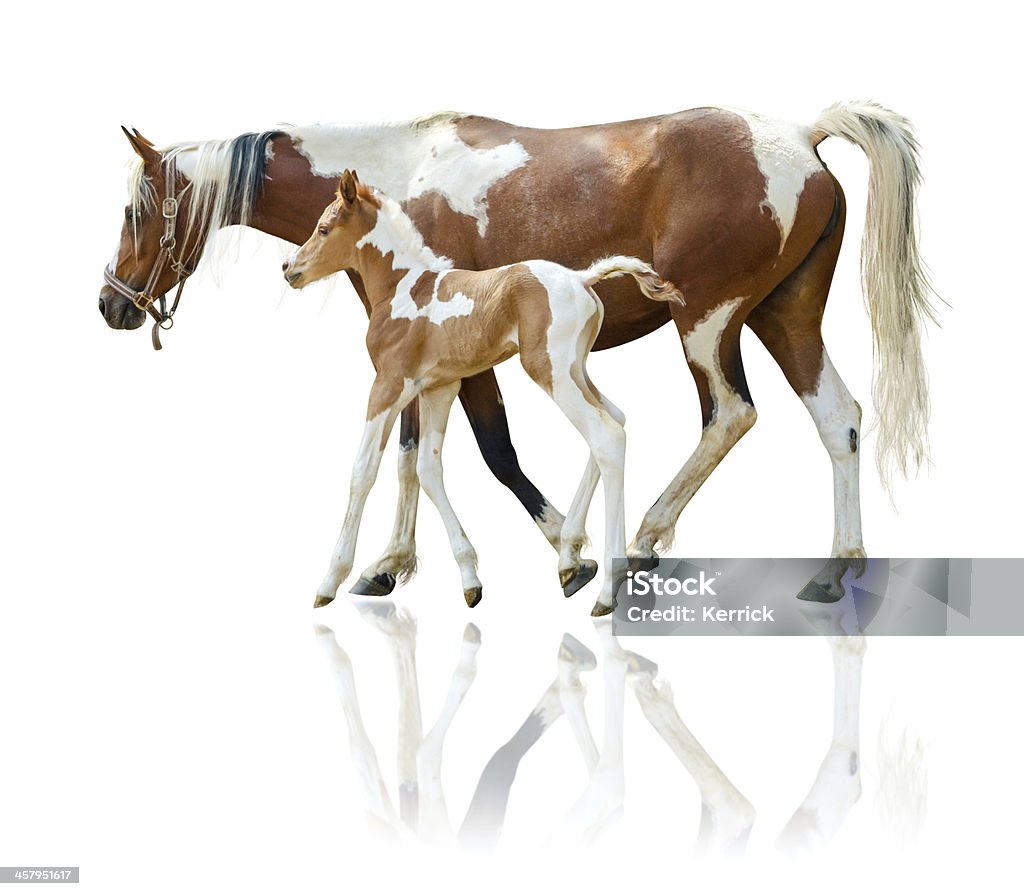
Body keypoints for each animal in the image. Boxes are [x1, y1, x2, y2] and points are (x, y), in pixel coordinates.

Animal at [282, 171, 679, 614]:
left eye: (323, 229)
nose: (289, 268)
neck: (403, 288)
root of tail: (581, 278)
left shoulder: (387, 385)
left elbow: (363, 469)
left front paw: (330, 580)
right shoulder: (438, 388)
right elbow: (427, 469)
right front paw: (469, 579)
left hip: (551, 371)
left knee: (606, 437)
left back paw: (607, 588)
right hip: (576, 369)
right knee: (616, 420)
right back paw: (569, 556)